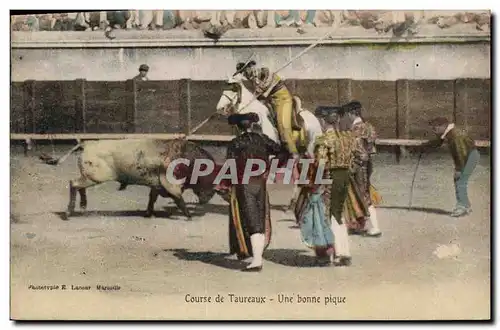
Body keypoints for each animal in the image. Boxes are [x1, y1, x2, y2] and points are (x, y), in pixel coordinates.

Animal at [39, 138, 219, 220]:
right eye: (210, 179)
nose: (205, 201)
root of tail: (87, 143)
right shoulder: (170, 184)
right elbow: (179, 199)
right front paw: (189, 216)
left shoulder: (156, 185)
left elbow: (152, 198)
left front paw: (148, 213)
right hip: (95, 177)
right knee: (74, 184)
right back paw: (69, 212)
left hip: (90, 177)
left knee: (79, 186)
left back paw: (82, 207)